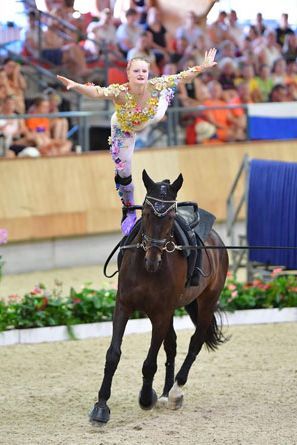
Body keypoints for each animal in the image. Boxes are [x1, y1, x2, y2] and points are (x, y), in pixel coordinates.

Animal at [89, 169, 228, 424]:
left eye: (172, 216)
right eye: (145, 212)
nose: (152, 260)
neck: (147, 269)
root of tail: (216, 239)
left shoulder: (160, 313)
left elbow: (149, 363)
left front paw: (146, 398)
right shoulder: (123, 306)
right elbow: (113, 355)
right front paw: (101, 407)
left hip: (206, 302)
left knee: (195, 342)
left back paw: (175, 391)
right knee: (172, 345)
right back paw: (164, 392)